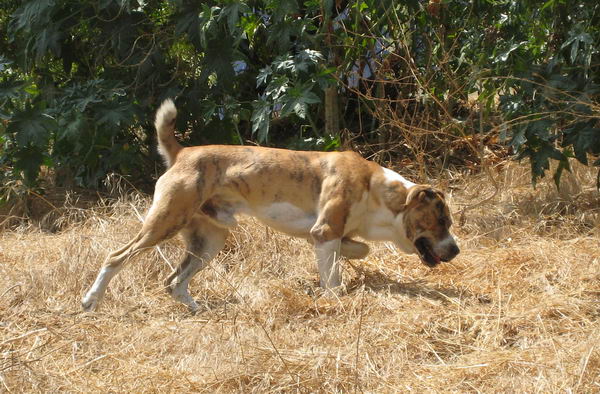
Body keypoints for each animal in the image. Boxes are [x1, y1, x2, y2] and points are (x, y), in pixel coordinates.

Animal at [81, 100, 460, 312]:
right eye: (441, 221)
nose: (456, 251)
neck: (377, 191)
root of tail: (183, 152)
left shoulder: (328, 234)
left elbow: (358, 249)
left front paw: (351, 255)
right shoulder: (324, 231)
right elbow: (333, 278)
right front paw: (334, 299)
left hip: (208, 241)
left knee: (174, 281)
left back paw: (198, 309)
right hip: (163, 224)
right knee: (116, 258)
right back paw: (91, 301)